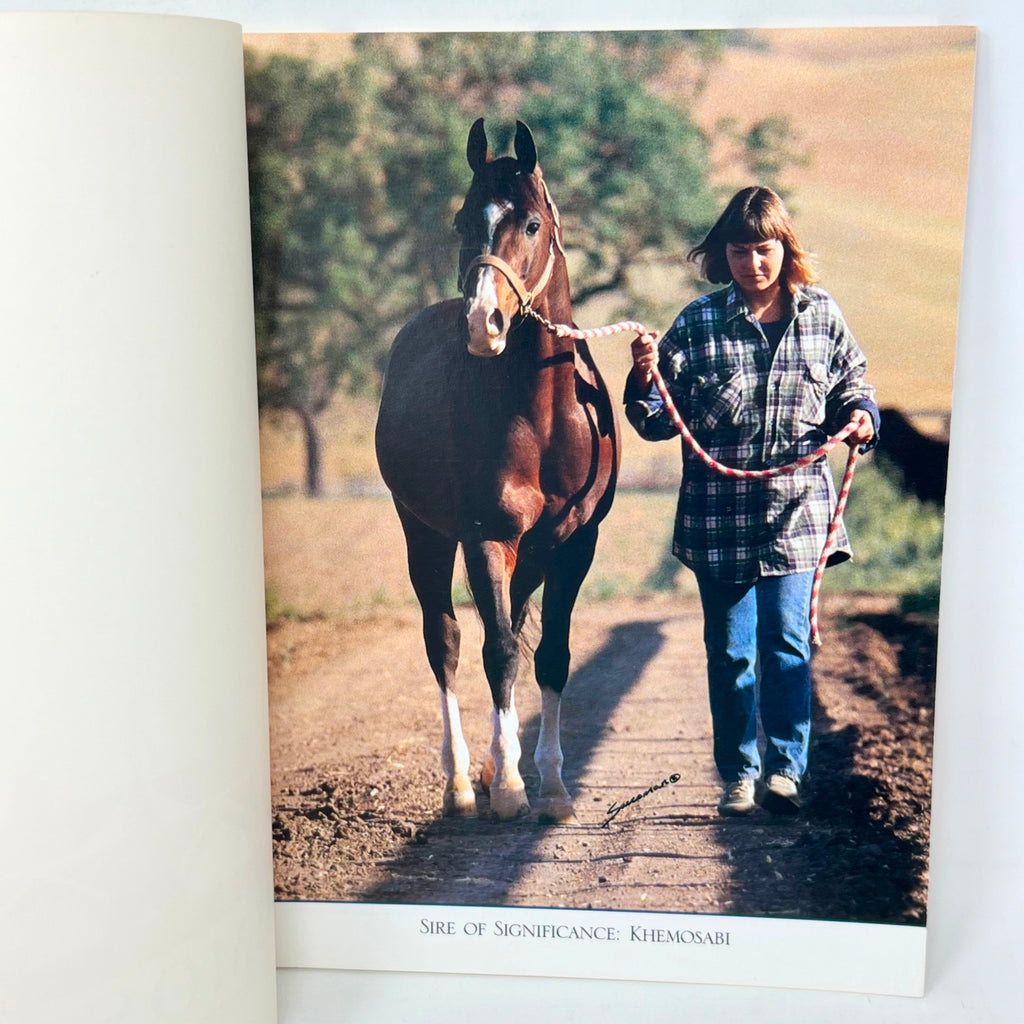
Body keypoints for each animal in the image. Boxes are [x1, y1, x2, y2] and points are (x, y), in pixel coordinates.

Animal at [374, 119, 619, 823]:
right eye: (462, 220)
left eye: (532, 224)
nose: (484, 324)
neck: (543, 417)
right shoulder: (487, 537)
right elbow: (500, 650)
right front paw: (510, 786)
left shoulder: (573, 547)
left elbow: (552, 655)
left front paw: (555, 788)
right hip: (425, 535)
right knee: (448, 641)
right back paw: (462, 782)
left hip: (527, 557)